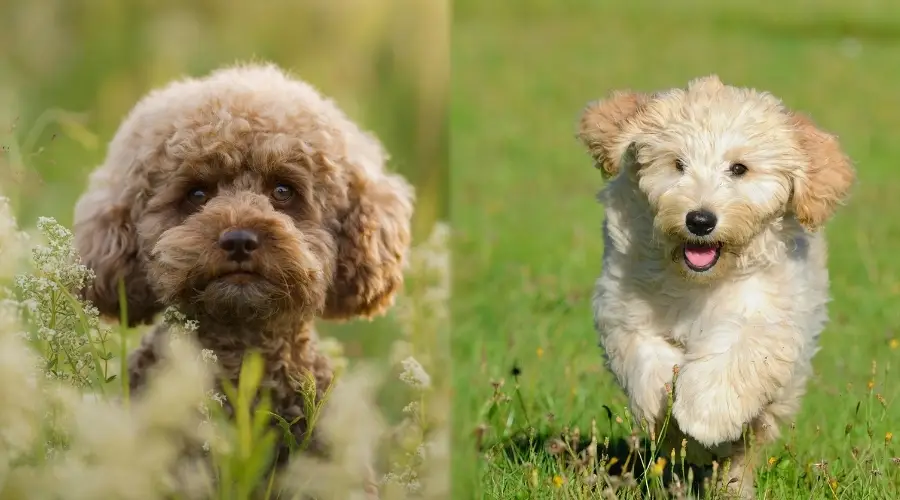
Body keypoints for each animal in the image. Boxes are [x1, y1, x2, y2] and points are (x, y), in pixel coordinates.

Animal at [580, 76, 856, 494]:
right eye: (678, 164)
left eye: (739, 169)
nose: (700, 220)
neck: (698, 280)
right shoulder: (623, 304)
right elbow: (644, 356)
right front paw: (666, 413)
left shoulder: (768, 315)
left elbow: (734, 358)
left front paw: (703, 417)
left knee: (746, 445)